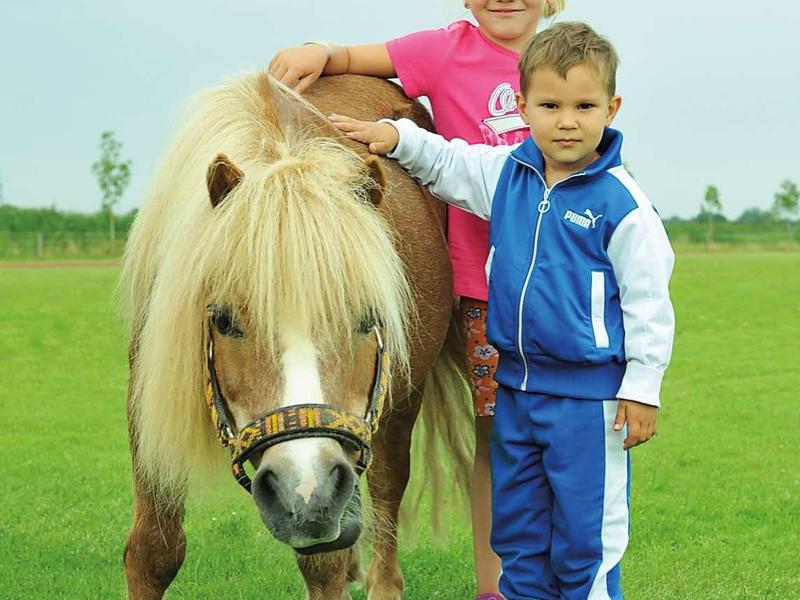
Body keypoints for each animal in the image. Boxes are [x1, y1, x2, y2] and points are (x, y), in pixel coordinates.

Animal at [120, 72, 473, 600]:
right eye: (223, 320)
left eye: (368, 318)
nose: (305, 490)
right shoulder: (149, 403)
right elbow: (153, 552)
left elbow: (325, 562)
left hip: (399, 401)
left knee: (388, 487)